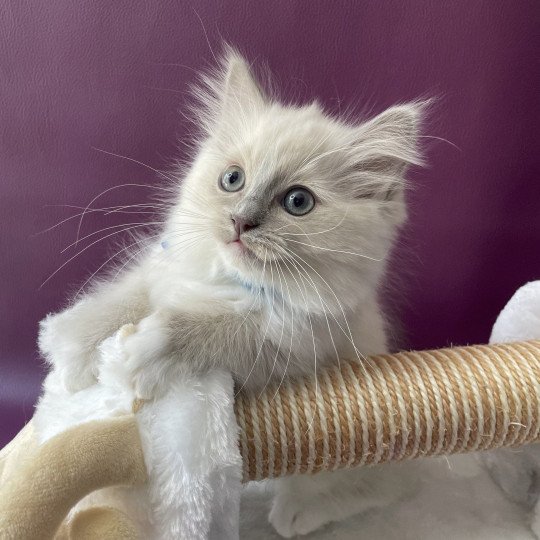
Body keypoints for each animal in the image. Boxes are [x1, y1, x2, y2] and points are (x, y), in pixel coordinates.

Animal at [39, 47, 426, 536]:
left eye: (298, 202)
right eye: (232, 180)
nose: (241, 221)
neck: (232, 281)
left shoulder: (295, 346)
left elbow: (216, 330)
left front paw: (143, 351)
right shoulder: (168, 268)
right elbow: (130, 297)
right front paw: (74, 346)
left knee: (378, 488)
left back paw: (293, 515)